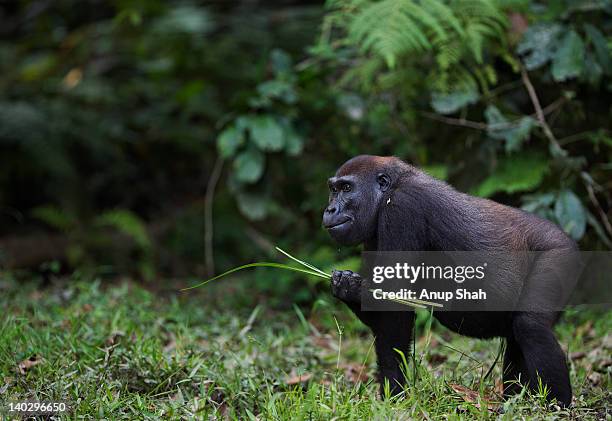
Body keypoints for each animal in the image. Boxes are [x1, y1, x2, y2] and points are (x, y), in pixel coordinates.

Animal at [322, 155, 576, 406]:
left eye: (346, 188)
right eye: (333, 190)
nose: (330, 209)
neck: (391, 188)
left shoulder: (402, 209)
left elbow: (394, 307)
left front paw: (394, 392)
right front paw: (347, 287)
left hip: (561, 252)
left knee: (531, 326)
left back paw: (556, 404)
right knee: (517, 334)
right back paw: (516, 400)